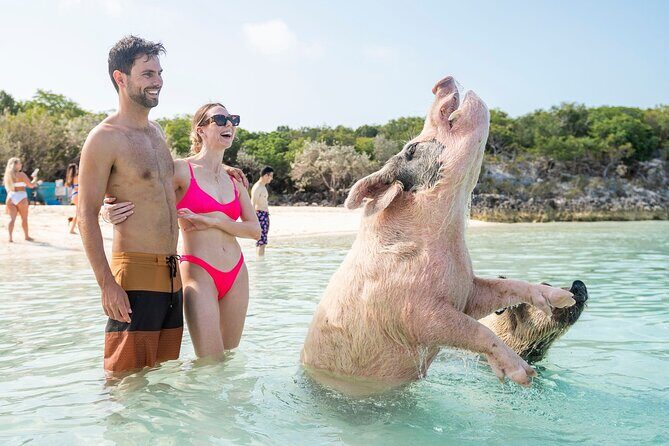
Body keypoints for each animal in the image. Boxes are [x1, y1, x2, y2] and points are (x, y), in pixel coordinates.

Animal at [300, 76, 576, 390]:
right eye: (410, 149)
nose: (441, 81)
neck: (448, 233)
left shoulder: (467, 289)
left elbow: (502, 288)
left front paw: (562, 297)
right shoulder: (412, 313)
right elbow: (474, 329)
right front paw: (524, 375)